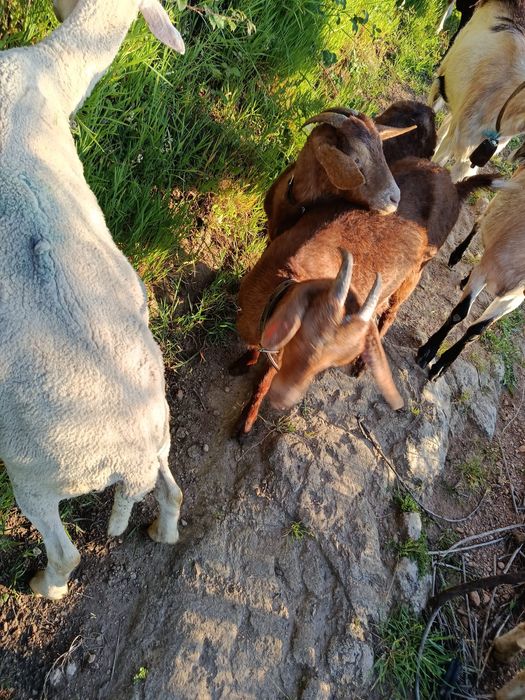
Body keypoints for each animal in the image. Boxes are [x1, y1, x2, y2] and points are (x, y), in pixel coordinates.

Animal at [0, 0, 184, 599]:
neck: (52, 70)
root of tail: (129, 459)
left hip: (36, 474)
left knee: (67, 554)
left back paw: (43, 585)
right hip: (161, 432)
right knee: (173, 491)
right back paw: (161, 532)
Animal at [416, 158, 525, 380]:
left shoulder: (514, 299)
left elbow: (478, 330)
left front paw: (441, 366)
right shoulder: (485, 271)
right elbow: (460, 313)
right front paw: (427, 353)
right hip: (495, 204)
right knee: (478, 223)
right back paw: (456, 256)